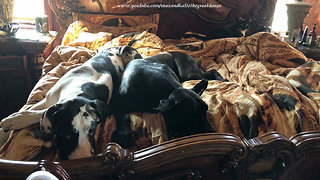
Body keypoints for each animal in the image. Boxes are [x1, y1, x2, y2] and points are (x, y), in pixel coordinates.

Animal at [0, 45, 141, 160]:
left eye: (92, 132)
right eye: (67, 135)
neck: (79, 90)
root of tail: (117, 47)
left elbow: (36, 113)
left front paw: (12, 121)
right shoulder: (47, 99)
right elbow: (30, 109)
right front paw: (8, 126)